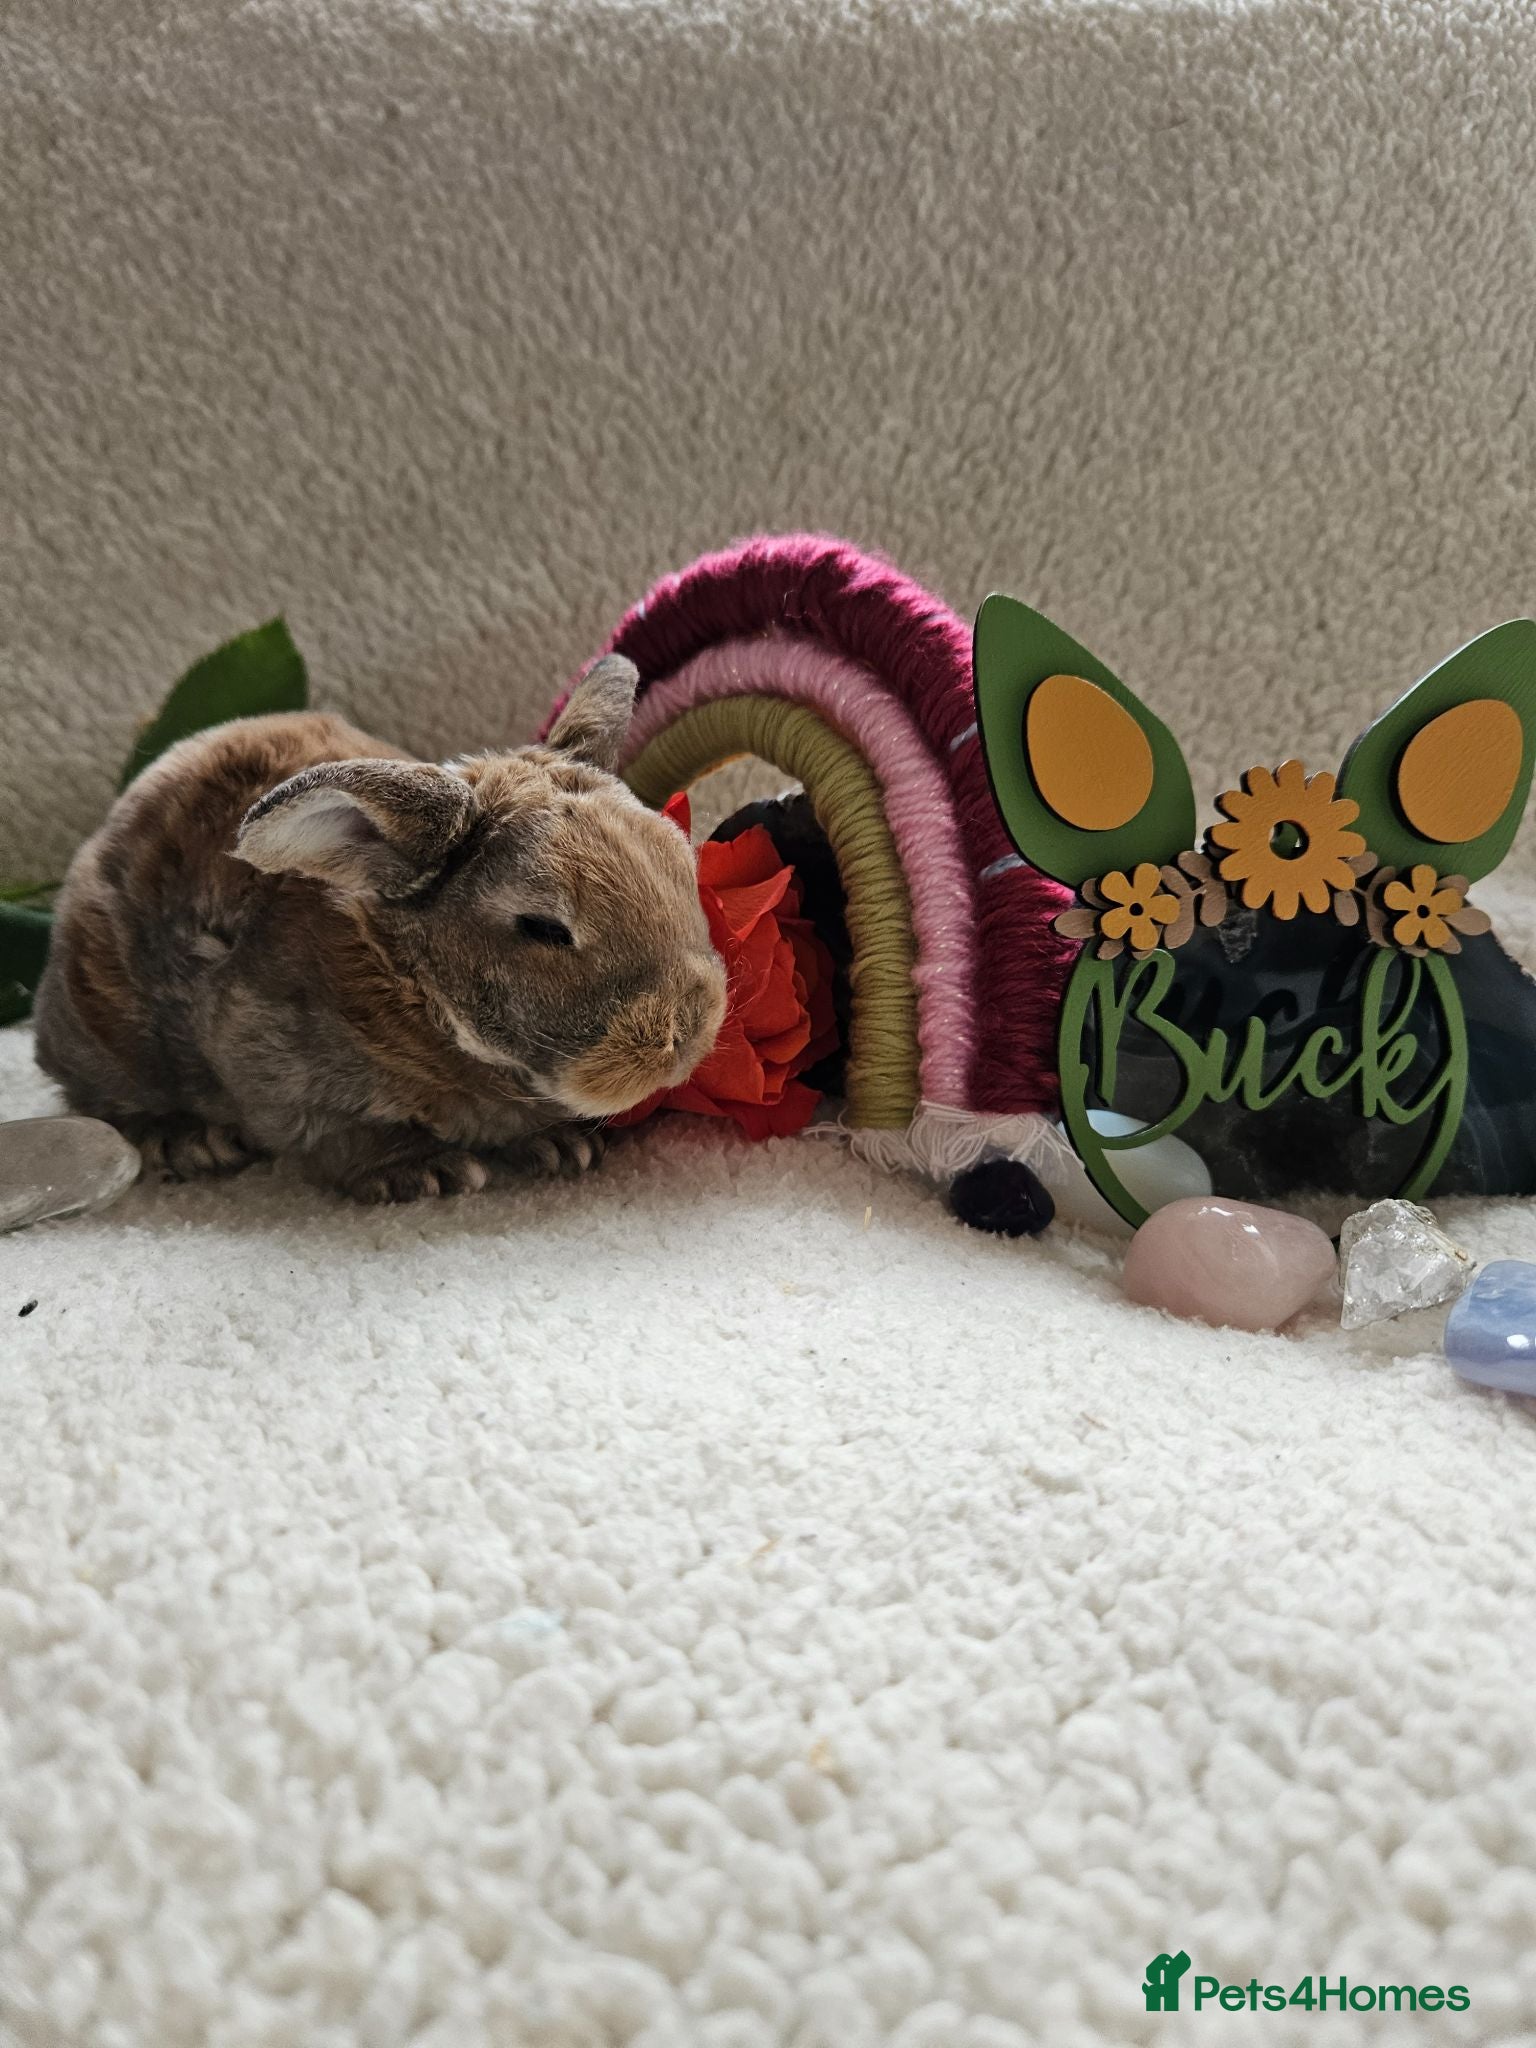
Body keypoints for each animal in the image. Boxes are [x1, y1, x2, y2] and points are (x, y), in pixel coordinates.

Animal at [32, 656, 727, 1202]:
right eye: (544, 928)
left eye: (682, 869)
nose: (684, 1038)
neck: (414, 984)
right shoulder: (282, 1075)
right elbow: (341, 1139)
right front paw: (423, 1173)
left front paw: (560, 1149)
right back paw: (192, 1143)